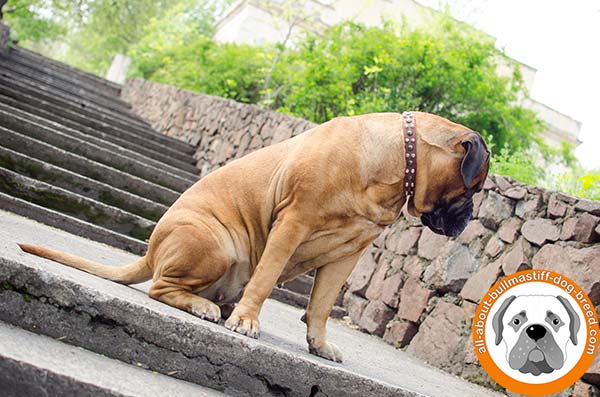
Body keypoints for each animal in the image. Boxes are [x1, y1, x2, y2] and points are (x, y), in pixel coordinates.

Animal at [18, 110, 490, 362]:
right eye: (475, 187)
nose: (470, 219)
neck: (399, 161)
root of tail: (150, 253)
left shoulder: (347, 255)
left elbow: (321, 306)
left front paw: (319, 344)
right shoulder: (293, 222)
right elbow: (265, 281)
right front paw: (247, 320)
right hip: (215, 244)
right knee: (160, 288)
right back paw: (206, 307)